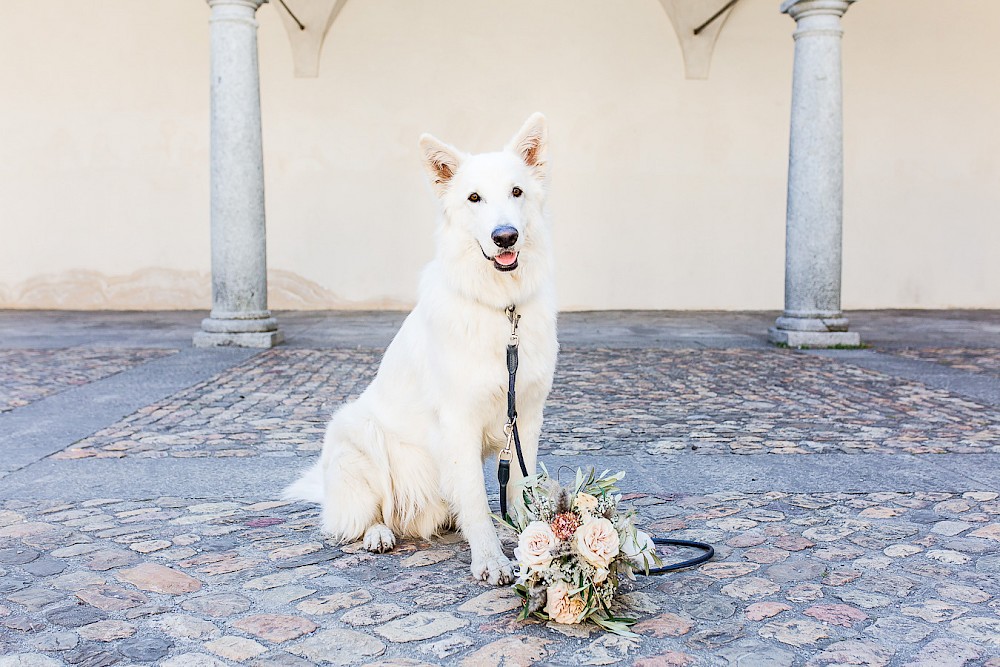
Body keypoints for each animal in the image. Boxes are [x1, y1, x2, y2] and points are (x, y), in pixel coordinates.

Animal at [286, 115, 560, 584]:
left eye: (517, 192)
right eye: (474, 197)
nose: (505, 237)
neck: (500, 308)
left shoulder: (525, 418)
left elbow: (518, 490)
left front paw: (532, 544)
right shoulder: (459, 421)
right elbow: (476, 498)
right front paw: (491, 560)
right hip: (359, 432)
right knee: (365, 516)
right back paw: (378, 534)